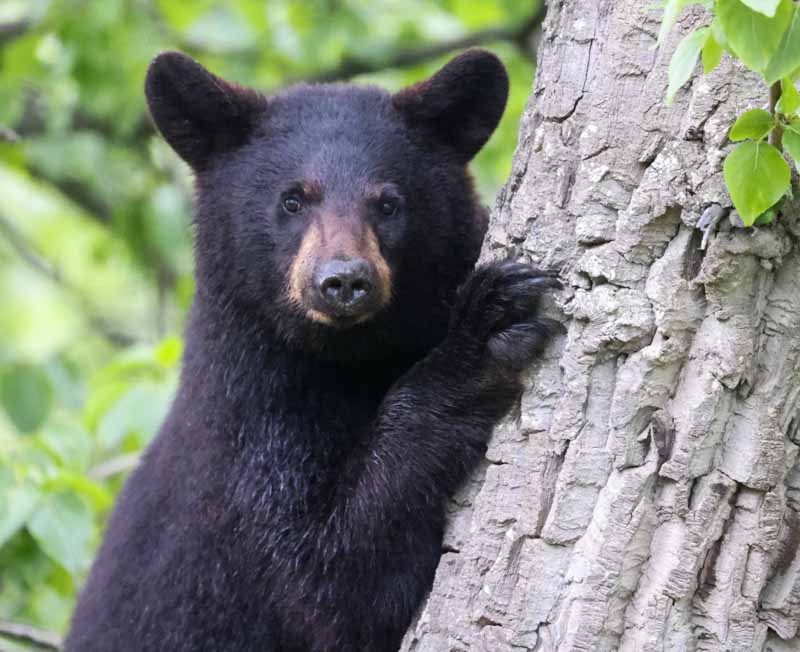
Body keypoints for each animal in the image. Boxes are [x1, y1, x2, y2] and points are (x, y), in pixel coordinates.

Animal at [64, 49, 556, 652]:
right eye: (293, 199)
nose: (344, 280)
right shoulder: (248, 431)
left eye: (388, 202)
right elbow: (327, 579)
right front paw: (481, 335)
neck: (350, 354)